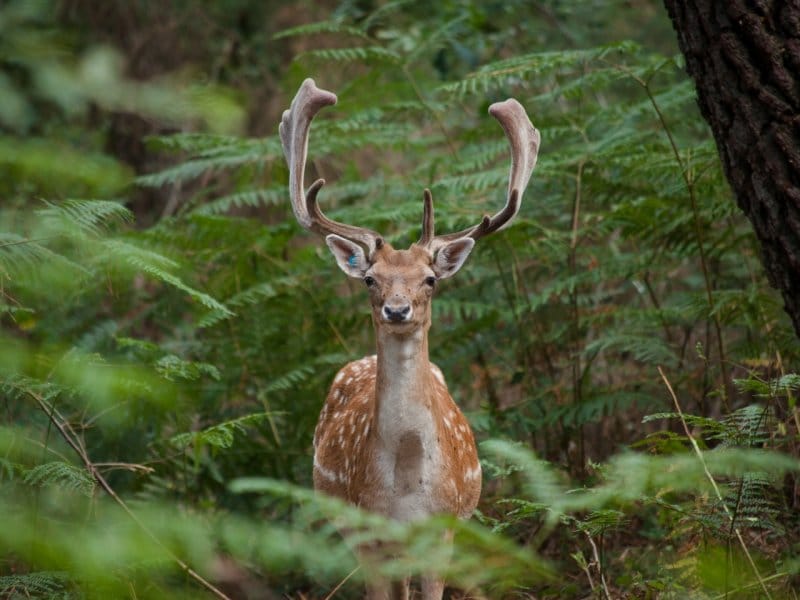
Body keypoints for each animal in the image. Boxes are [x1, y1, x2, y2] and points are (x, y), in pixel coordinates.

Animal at [278, 79, 540, 600]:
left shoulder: (443, 530)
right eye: (370, 280)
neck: (403, 485)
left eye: (430, 279)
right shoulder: (367, 532)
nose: (397, 310)